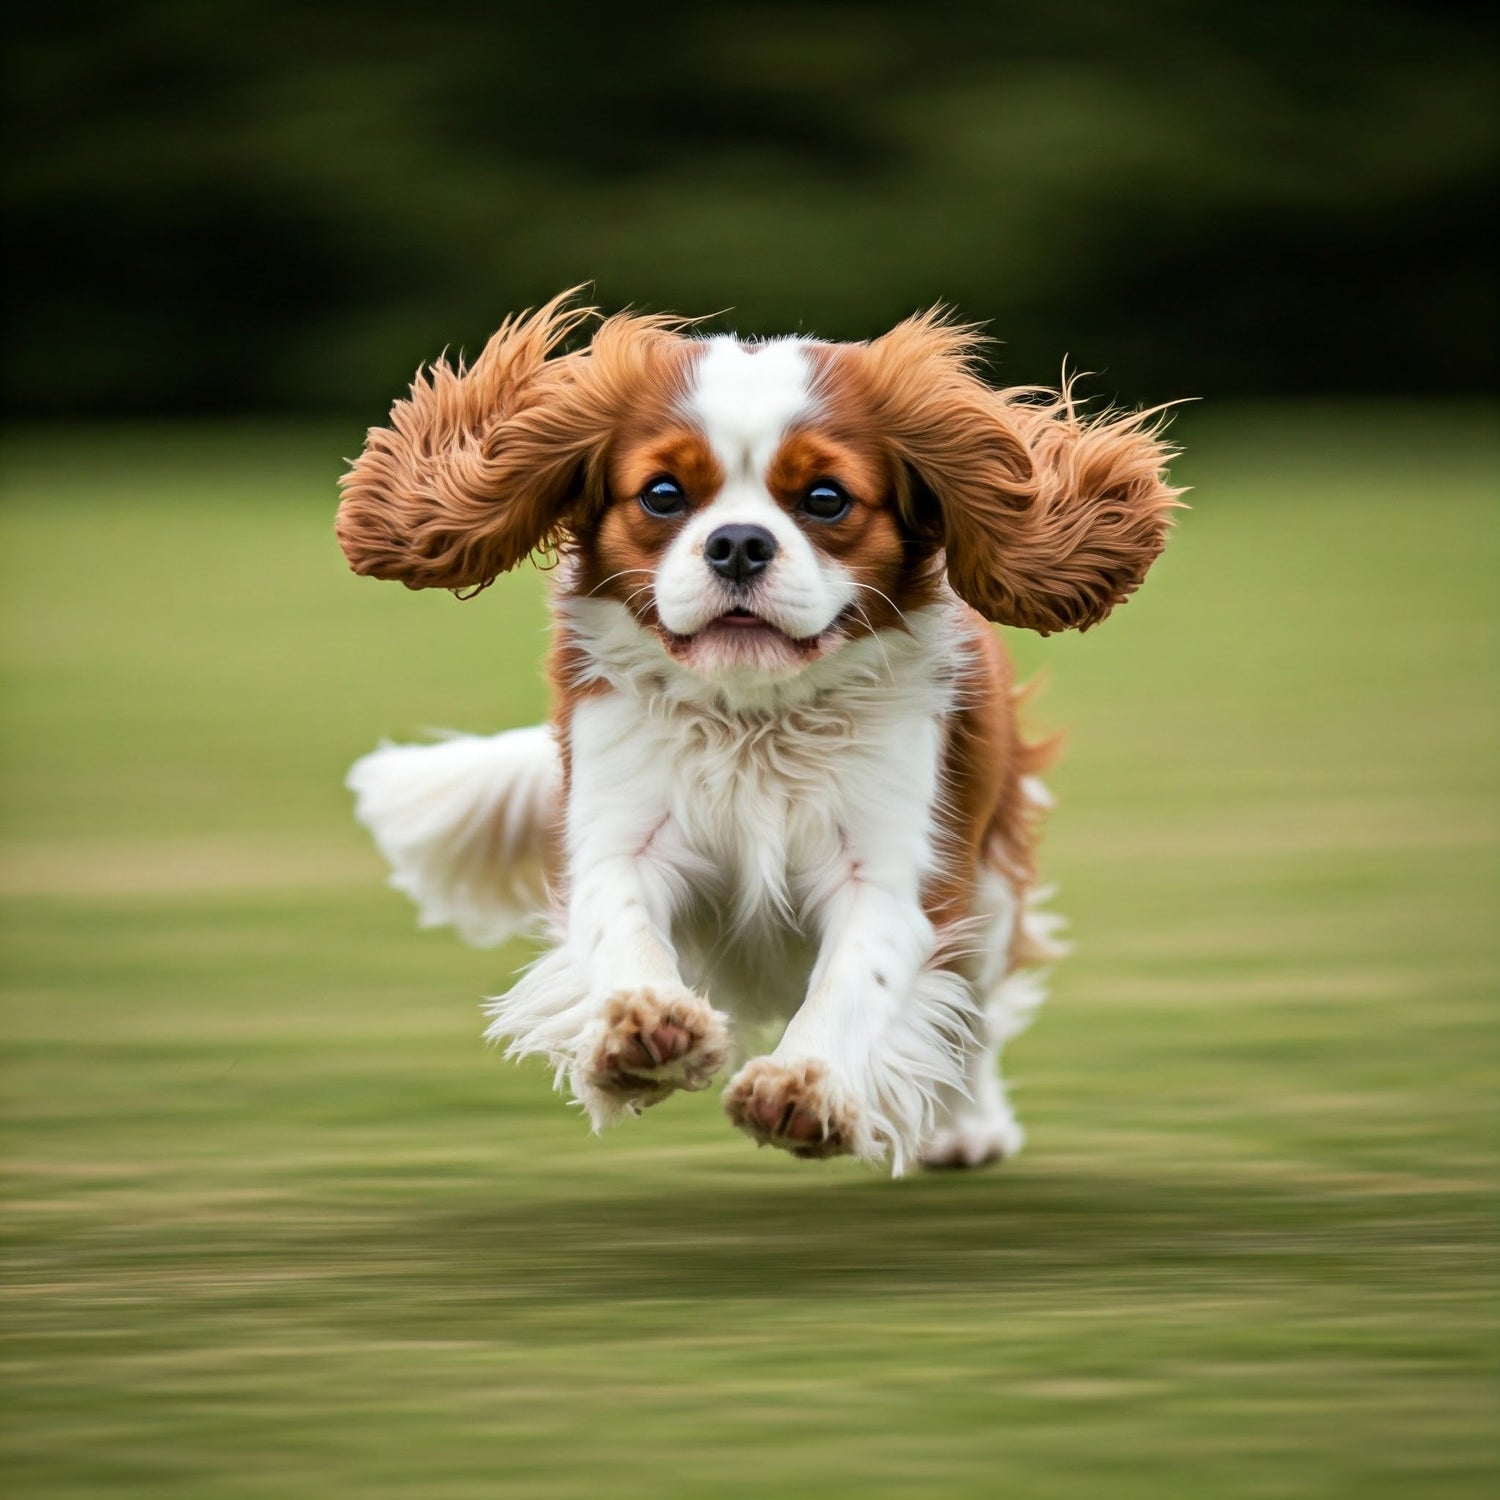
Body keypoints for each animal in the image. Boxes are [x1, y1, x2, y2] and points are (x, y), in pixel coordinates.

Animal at [340, 292, 1182, 1176]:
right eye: (663, 494)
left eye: (825, 499)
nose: (739, 542)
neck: (754, 715)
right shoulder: (621, 839)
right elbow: (619, 928)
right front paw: (640, 1031)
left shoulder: (889, 874)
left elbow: (861, 982)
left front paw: (806, 1087)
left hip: (986, 896)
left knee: (971, 1022)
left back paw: (966, 1125)